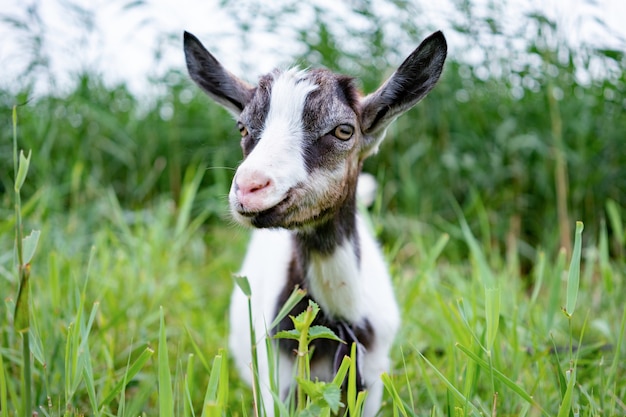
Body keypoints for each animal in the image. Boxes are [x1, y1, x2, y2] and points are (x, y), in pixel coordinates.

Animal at [183, 30, 446, 414]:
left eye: (343, 130)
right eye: (243, 128)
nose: (249, 187)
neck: (338, 321)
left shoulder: (370, 380)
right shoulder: (277, 377)